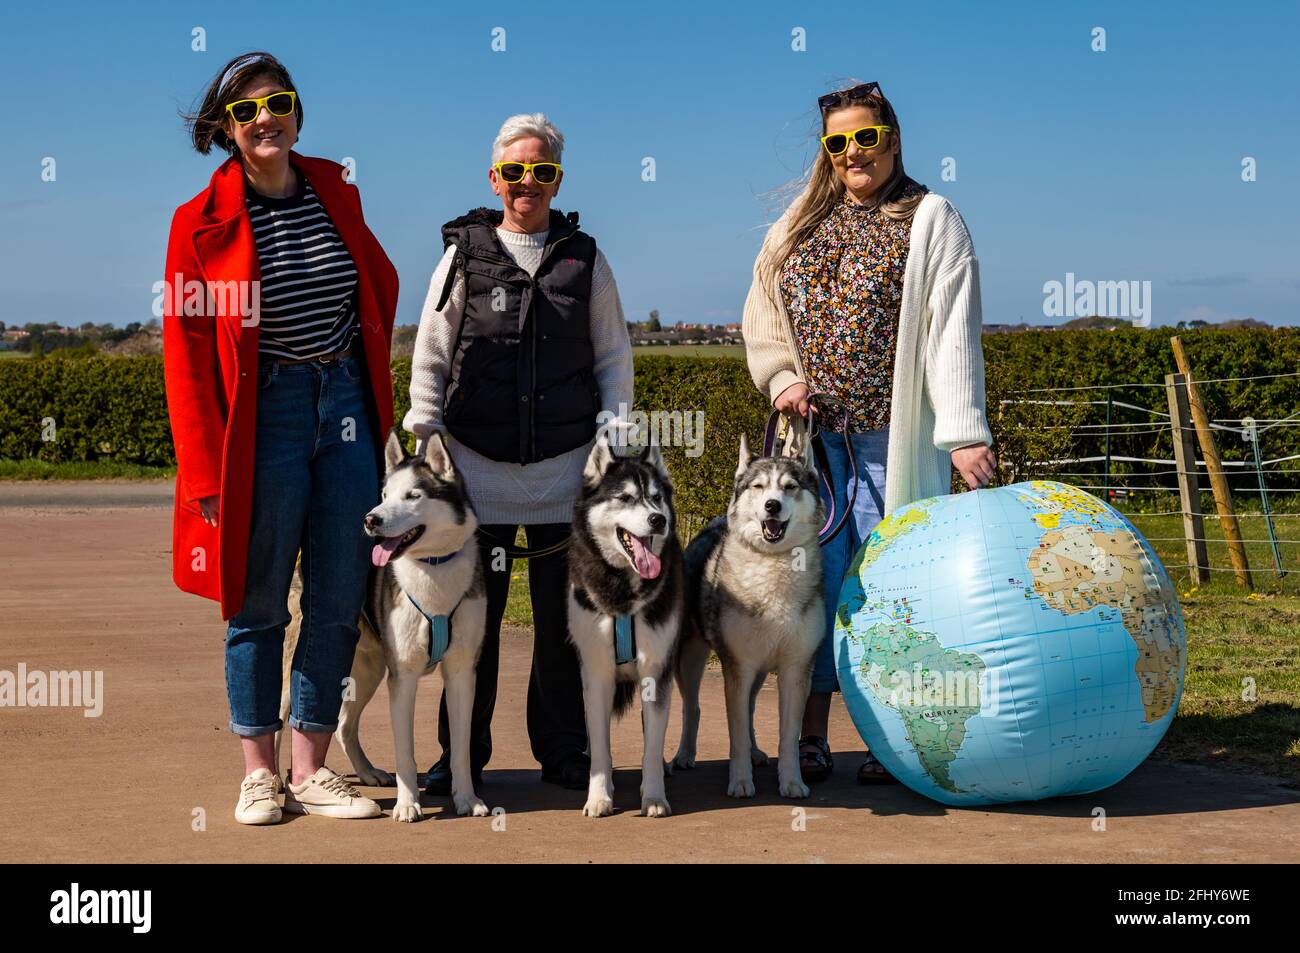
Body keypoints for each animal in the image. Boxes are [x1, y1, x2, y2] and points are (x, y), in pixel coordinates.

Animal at [279, 431, 488, 816]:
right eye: (385, 495)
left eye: (413, 495)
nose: (370, 520)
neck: (433, 567)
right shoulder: (402, 677)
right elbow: (405, 752)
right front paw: (407, 805)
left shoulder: (462, 673)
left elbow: (461, 751)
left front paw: (467, 799)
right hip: (296, 675)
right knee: (279, 724)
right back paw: (278, 789)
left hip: (368, 670)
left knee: (343, 725)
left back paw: (367, 772)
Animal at [572, 426, 691, 816]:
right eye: (624, 498)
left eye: (655, 498)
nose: (658, 520)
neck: (623, 590)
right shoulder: (596, 672)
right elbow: (601, 748)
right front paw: (599, 796)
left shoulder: (655, 669)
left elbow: (651, 746)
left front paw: (653, 796)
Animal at [670, 431, 821, 795]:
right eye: (759, 486)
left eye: (790, 487)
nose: (772, 505)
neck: (774, 565)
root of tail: (713, 524)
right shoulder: (737, 667)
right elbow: (735, 733)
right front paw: (740, 781)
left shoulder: (795, 670)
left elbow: (787, 737)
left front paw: (792, 781)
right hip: (692, 659)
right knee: (692, 708)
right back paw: (684, 755)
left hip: (759, 671)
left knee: (750, 709)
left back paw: (755, 753)